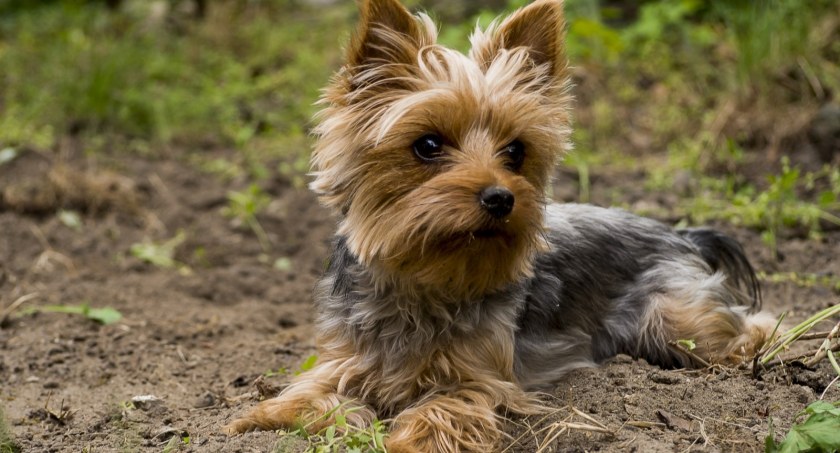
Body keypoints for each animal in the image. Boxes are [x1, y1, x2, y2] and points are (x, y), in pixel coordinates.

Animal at [223, 0, 776, 448]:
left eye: (516, 151)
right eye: (427, 144)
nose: (501, 196)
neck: (424, 281)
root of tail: (679, 232)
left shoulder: (485, 376)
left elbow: (447, 404)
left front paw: (411, 437)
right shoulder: (339, 360)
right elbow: (314, 396)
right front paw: (256, 418)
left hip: (672, 318)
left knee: (749, 326)